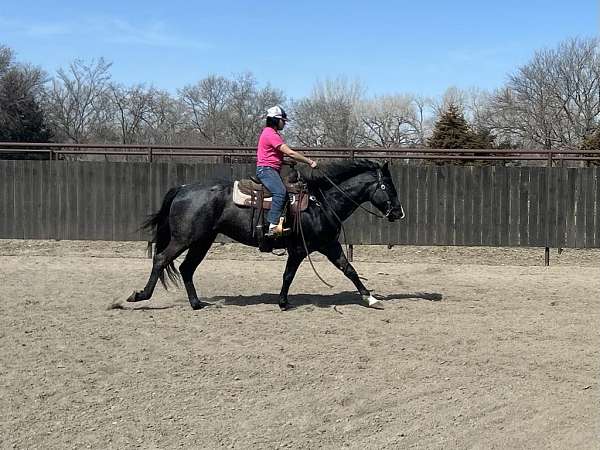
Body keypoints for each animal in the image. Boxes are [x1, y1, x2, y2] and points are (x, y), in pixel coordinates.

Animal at [128, 158, 406, 310]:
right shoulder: (301, 249)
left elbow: (349, 269)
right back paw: (140, 295)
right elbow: (288, 275)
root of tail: (183, 188)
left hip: (202, 241)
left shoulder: (329, 245)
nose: (399, 213)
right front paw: (282, 302)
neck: (321, 202)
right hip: (184, 238)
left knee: (186, 268)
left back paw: (196, 304)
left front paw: (370, 298)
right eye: (388, 187)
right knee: (161, 259)